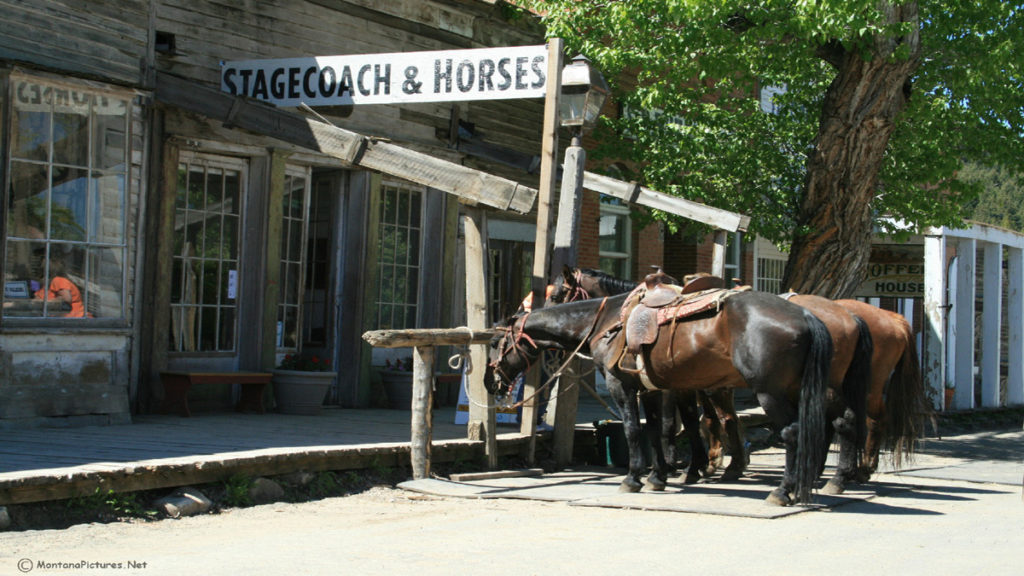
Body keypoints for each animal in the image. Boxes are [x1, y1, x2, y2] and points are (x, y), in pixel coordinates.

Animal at [485, 282, 831, 502]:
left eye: (495, 342)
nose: (490, 382)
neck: (607, 321)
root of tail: (805, 315)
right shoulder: (649, 390)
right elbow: (654, 430)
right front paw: (658, 477)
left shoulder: (621, 385)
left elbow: (633, 430)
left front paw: (633, 478)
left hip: (771, 394)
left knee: (792, 433)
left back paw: (783, 491)